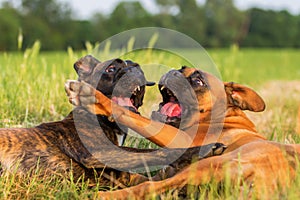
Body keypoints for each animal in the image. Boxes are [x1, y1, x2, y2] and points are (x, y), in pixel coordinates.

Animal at [0, 55, 225, 188]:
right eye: (110, 69)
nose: (133, 68)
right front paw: (203, 150)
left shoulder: (130, 178)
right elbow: (152, 152)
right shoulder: (101, 152)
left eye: (135, 65)